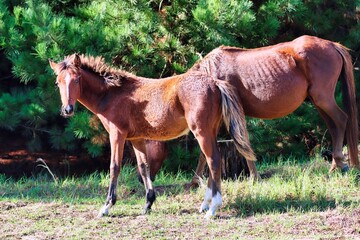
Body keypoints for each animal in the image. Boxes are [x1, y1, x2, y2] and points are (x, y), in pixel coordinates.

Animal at [49, 54, 255, 218]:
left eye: (76, 80)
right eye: (58, 82)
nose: (67, 110)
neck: (112, 94)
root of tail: (215, 82)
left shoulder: (117, 135)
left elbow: (114, 167)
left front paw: (106, 206)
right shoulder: (136, 139)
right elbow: (144, 167)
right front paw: (148, 204)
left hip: (201, 132)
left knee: (213, 160)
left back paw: (213, 208)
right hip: (210, 131)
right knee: (211, 159)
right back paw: (205, 205)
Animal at [146, 34, 358, 183]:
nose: (147, 176)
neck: (210, 75)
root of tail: (333, 45)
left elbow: (236, 144)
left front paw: (253, 177)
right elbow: (214, 150)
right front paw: (194, 181)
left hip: (324, 99)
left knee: (341, 120)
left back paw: (338, 165)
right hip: (318, 102)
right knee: (334, 128)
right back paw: (336, 165)